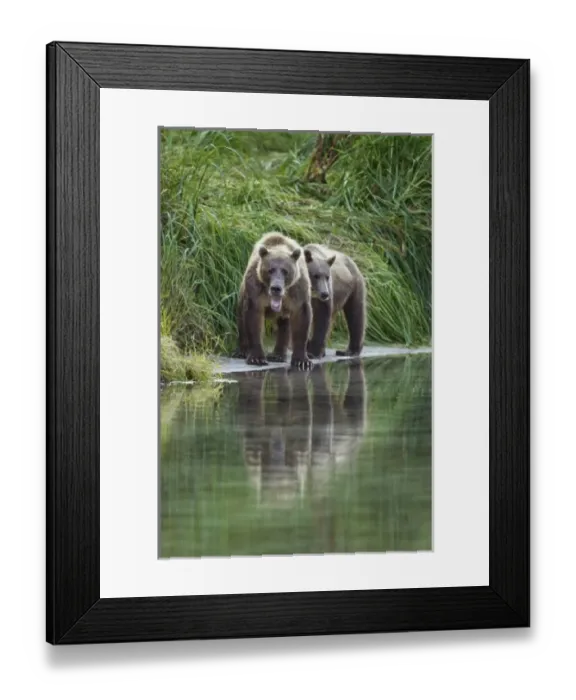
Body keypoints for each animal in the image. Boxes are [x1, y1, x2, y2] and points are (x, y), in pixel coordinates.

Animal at [233, 232, 313, 370]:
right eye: (270, 270)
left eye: (285, 271)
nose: (276, 288)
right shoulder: (255, 290)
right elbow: (253, 320)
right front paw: (257, 358)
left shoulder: (298, 291)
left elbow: (301, 320)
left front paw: (302, 361)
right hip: (243, 293)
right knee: (241, 318)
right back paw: (242, 351)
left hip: (285, 310)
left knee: (284, 325)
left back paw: (278, 355)